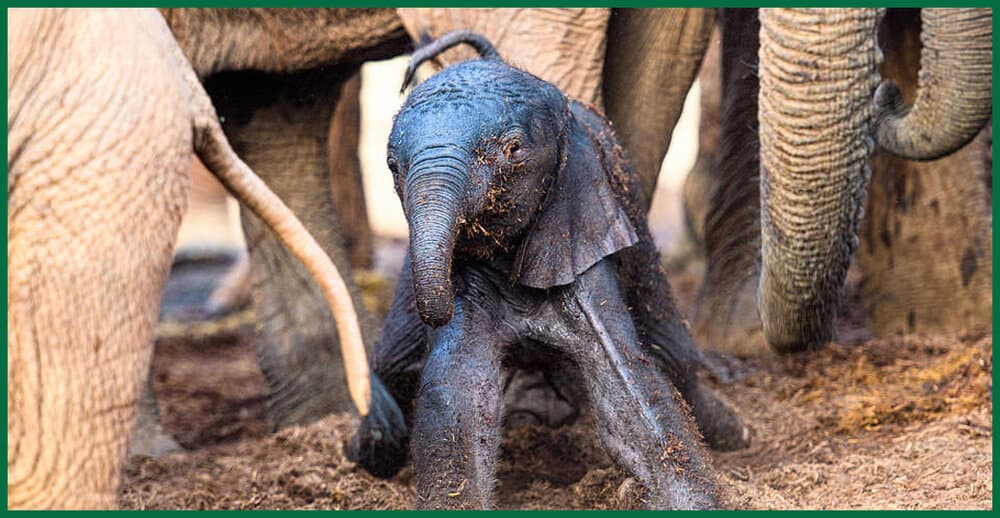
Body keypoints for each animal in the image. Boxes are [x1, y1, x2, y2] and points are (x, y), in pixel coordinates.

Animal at [349, 32, 731, 510]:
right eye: (391, 166)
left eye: (512, 151)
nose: (435, 313)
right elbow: (459, 391)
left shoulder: (578, 233)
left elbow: (627, 383)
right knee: (393, 363)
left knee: (673, 352)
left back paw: (736, 433)